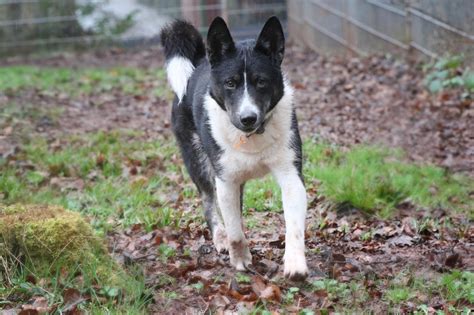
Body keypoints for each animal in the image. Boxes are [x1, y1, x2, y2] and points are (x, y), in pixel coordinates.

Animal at [159, 16, 308, 280]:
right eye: (230, 83)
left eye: (261, 82)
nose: (248, 118)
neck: (251, 136)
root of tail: (199, 61)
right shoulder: (226, 181)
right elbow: (234, 230)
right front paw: (240, 259)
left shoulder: (291, 175)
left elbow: (294, 225)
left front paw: (295, 263)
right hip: (198, 163)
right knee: (208, 202)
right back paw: (220, 238)